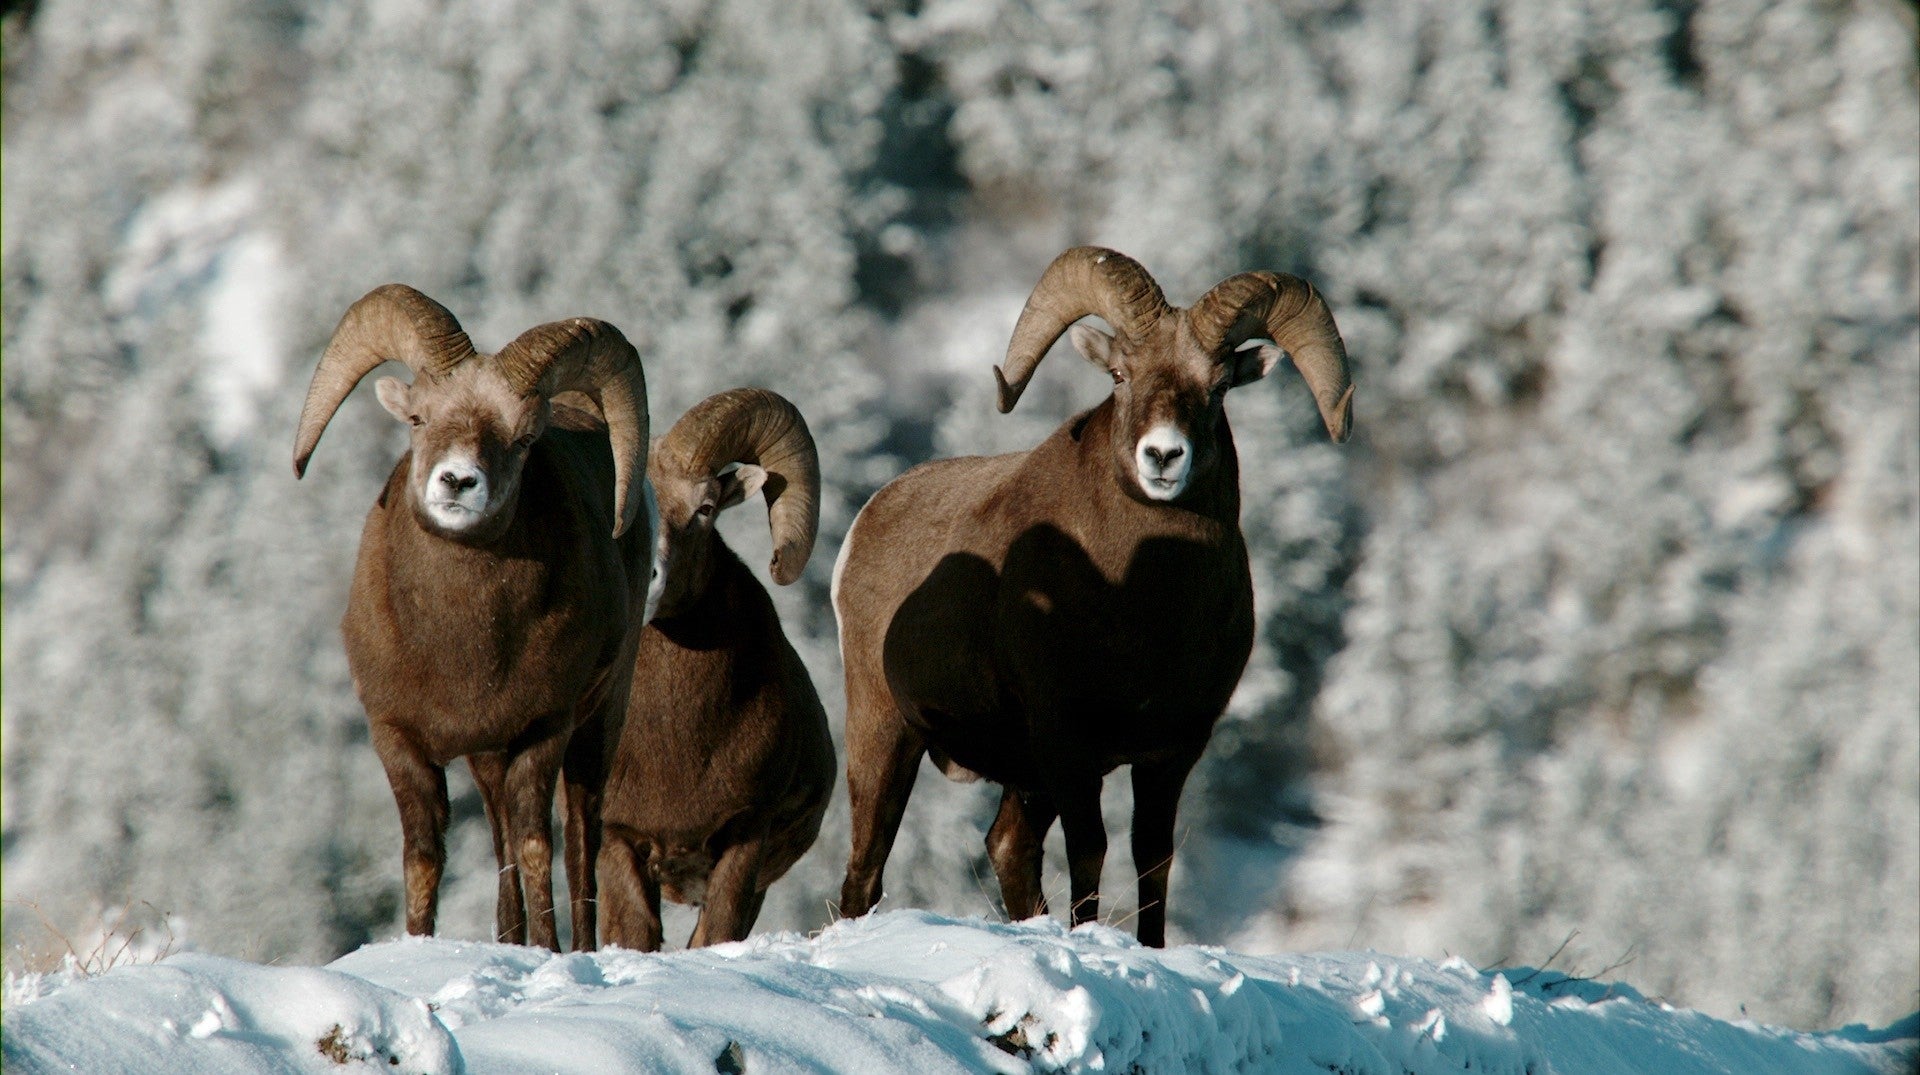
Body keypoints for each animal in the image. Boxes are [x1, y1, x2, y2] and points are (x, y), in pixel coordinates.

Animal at [291, 284, 660, 948]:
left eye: (522, 439)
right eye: (419, 419)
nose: (459, 482)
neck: (460, 644)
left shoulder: (543, 729)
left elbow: (539, 845)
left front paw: (548, 952)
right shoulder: (398, 738)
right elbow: (423, 857)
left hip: (598, 723)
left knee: (579, 840)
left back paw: (577, 945)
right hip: (487, 760)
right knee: (499, 838)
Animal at [837, 247, 1351, 944]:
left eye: (1218, 386)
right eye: (1119, 375)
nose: (1163, 456)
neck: (1144, 608)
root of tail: (867, 520)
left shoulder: (1170, 753)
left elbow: (1152, 857)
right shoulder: (1070, 745)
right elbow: (1091, 851)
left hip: (1025, 779)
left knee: (1008, 847)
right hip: (887, 735)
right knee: (866, 871)